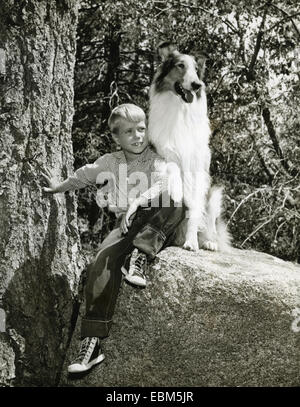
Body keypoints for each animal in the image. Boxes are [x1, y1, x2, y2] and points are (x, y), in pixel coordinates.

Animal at [149, 42, 231, 252]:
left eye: (196, 69)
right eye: (180, 66)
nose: (197, 85)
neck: (180, 110)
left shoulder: (197, 167)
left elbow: (194, 209)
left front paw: (191, 241)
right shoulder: (163, 154)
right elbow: (172, 171)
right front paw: (177, 191)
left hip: (213, 195)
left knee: (210, 226)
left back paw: (208, 242)